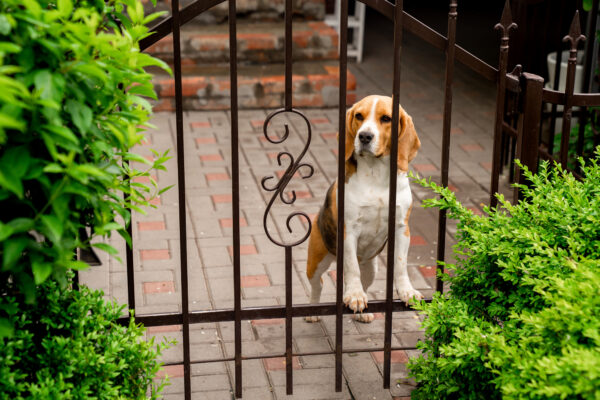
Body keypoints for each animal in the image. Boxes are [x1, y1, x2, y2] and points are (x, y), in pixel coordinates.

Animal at [304, 95, 422, 324]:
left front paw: (407, 290)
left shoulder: (402, 228)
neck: (376, 175)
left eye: (386, 118)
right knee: (318, 284)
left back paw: (362, 312)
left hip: (371, 268)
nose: (365, 136)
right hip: (316, 261)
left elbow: (401, 265)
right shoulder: (349, 230)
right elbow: (351, 268)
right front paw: (355, 295)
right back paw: (313, 310)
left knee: (361, 280)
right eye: (359, 116)